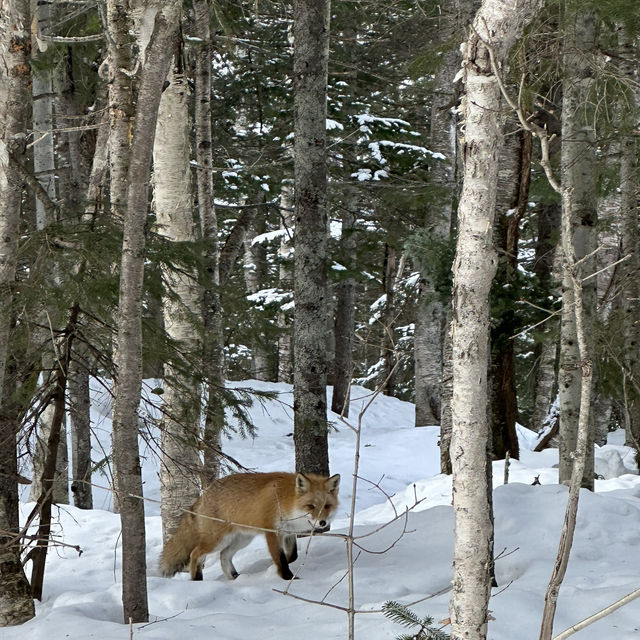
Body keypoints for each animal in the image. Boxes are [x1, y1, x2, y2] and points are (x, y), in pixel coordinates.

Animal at [160, 470, 340, 580]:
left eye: (327, 506)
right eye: (311, 506)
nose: (323, 522)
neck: (285, 499)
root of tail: (205, 493)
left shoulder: (287, 532)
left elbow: (292, 555)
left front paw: (275, 567)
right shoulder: (271, 531)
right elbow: (280, 558)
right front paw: (288, 577)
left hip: (242, 539)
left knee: (223, 556)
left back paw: (234, 577)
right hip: (218, 540)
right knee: (195, 554)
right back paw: (197, 579)